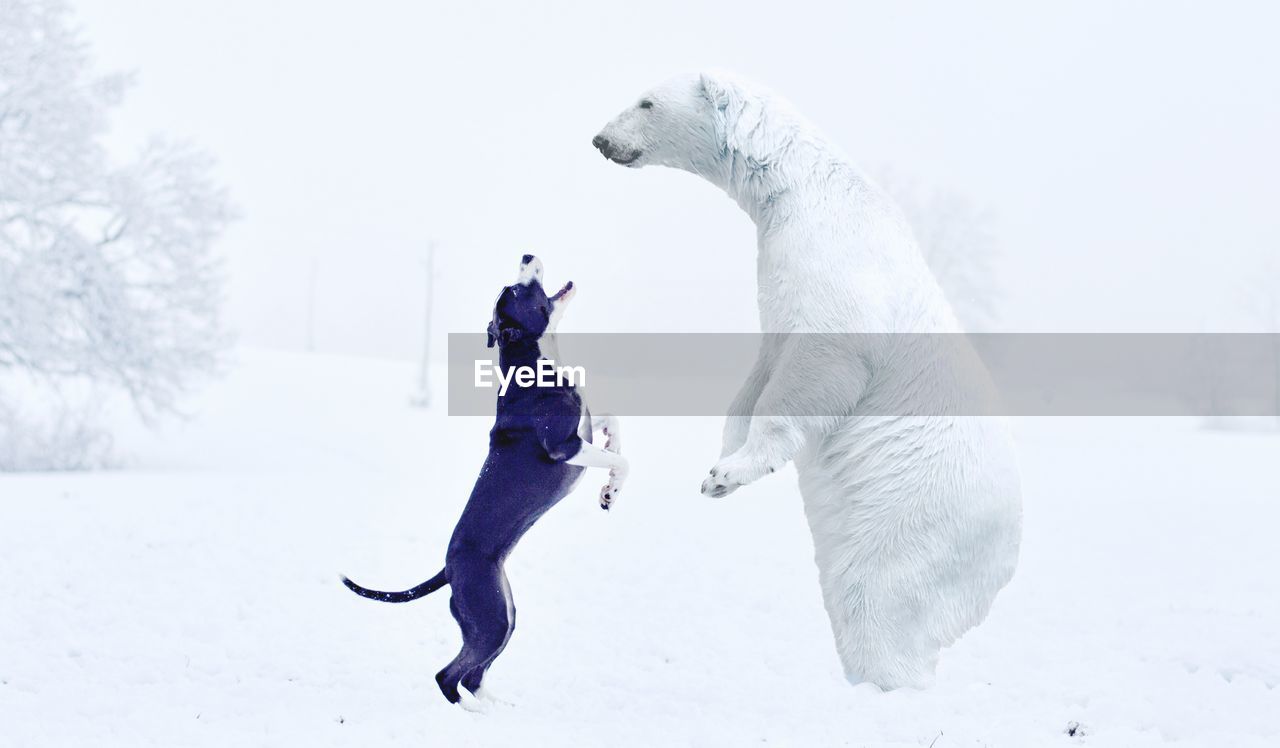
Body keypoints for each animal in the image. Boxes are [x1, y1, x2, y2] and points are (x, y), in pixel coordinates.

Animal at [337, 253, 622, 701]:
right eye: (518, 291)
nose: (526, 254)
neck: (533, 361)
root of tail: (448, 569)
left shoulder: (585, 429)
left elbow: (616, 429)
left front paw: (609, 484)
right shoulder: (565, 446)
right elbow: (621, 459)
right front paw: (613, 487)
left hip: (504, 614)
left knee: (473, 674)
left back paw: (490, 706)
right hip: (491, 618)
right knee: (448, 676)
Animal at [593, 73, 1024, 686]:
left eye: (646, 101)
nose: (601, 139)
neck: (798, 187)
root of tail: (1009, 551)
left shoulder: (836, 269)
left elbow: (819, 364)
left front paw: (729, 472)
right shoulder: (776, 276)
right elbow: (760, 372)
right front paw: (720, 462)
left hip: (916, 519)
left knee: (878, 599)